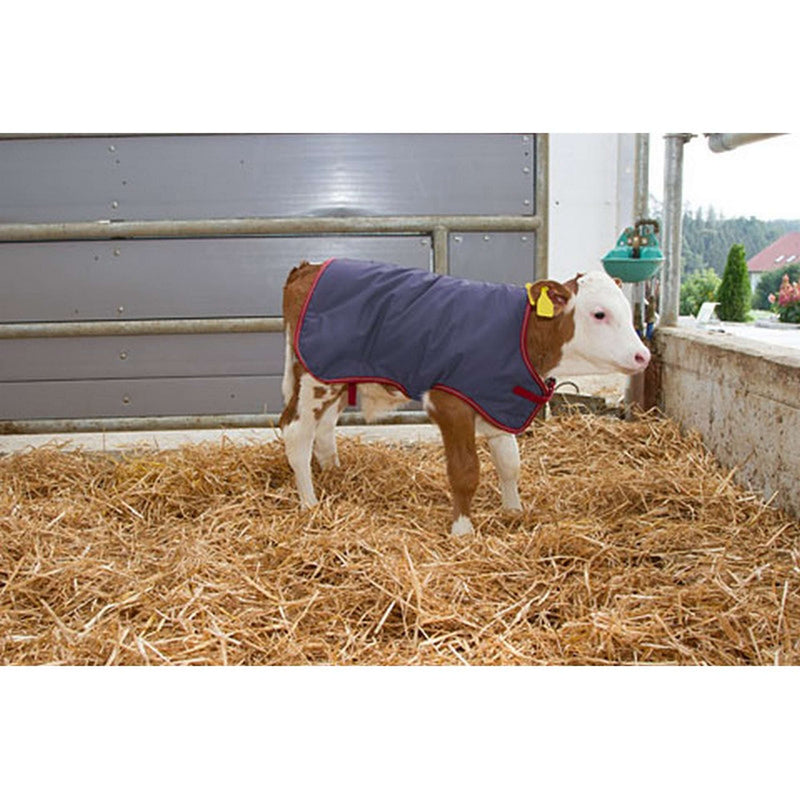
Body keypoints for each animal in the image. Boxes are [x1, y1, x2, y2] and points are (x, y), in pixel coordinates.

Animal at [279, 258, 650, 536]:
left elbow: (510, 464)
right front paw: (462, 530)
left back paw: (334, 476)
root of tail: (309, 267)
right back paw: (309, 504)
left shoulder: (499, 401)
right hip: (313, 376)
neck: (522, 333)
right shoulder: (450, 401)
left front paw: (513, 512)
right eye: (599, 314)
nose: (643, 355)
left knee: (324, 428)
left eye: (628, 312)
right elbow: (465, 471)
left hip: (337, 376)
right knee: (296, 431)